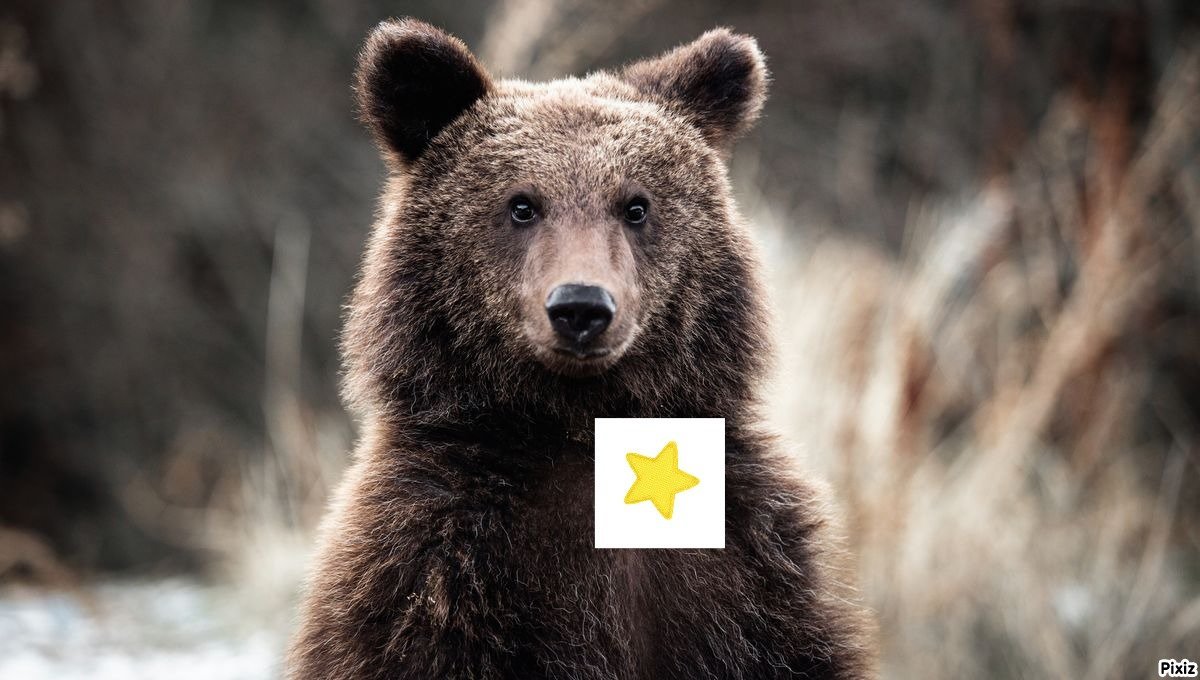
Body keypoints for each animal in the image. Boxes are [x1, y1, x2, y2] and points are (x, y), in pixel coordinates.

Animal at [287, 18, 876, 680]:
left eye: (636, 205)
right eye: (521, 204)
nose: (580, 307)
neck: (580, 423)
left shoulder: (749, 570)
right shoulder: (430, 575)